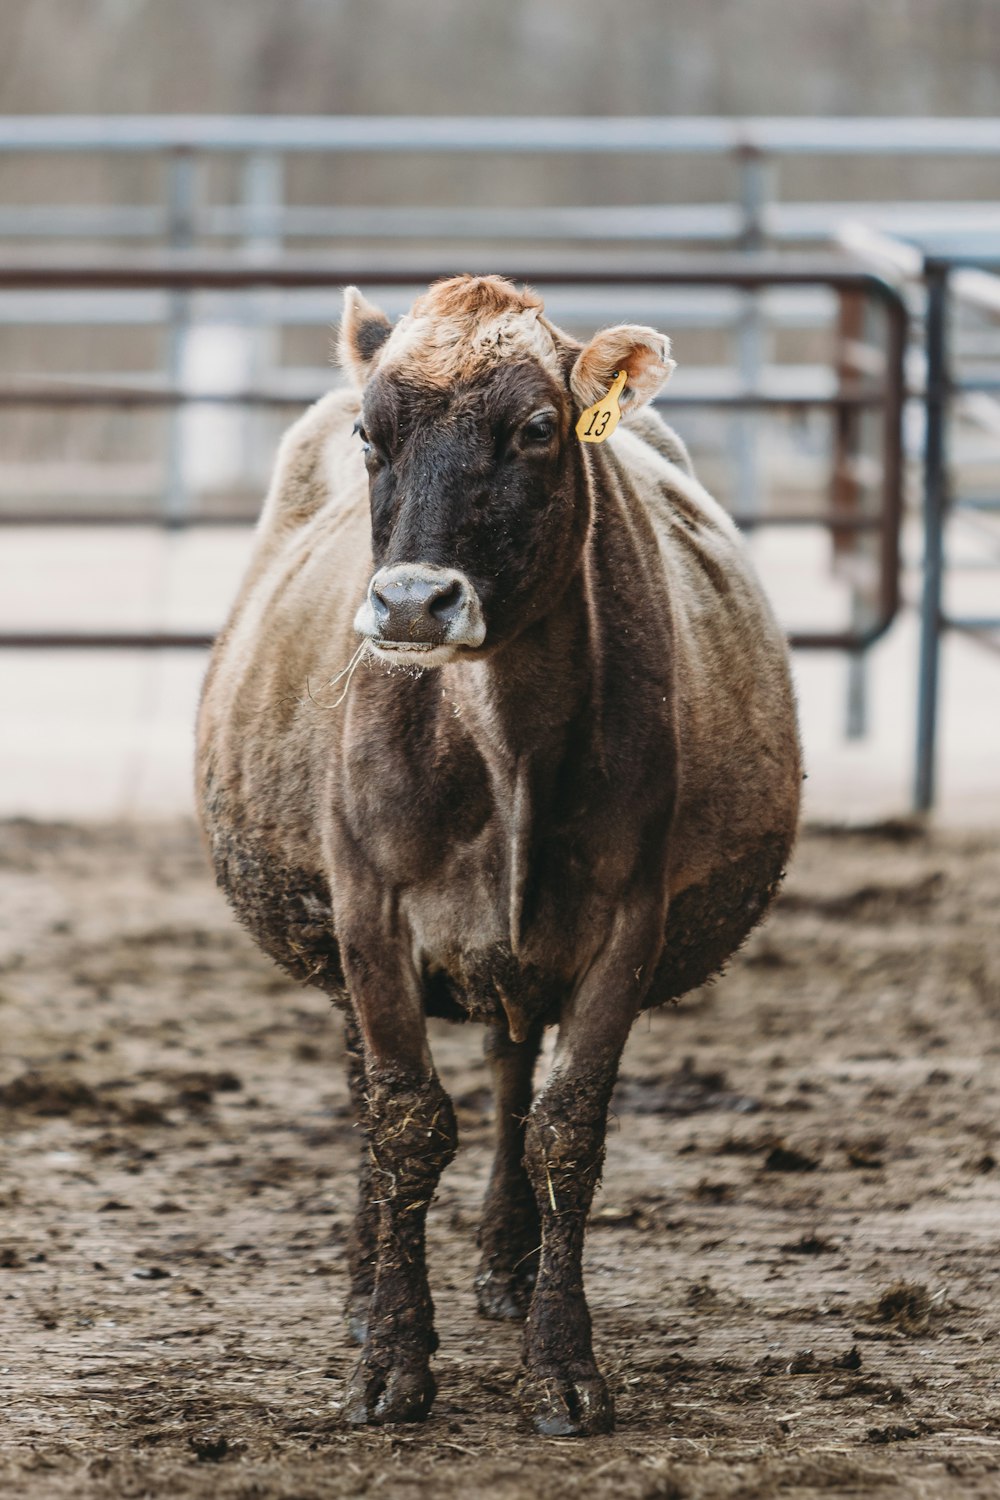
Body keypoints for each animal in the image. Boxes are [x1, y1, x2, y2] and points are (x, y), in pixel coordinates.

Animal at [194, 276, 803, 1434]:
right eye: (371, 433)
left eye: (534, 430)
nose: (410, 602)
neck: (498, 737)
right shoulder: (371, 910)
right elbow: (404, 1122)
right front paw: (391, 1355)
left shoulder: (628, 919)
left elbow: (566, 1130)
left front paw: (560, 1362)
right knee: (370, 1087)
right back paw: (363, 1285)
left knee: (513, 1071)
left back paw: (506, 1266)